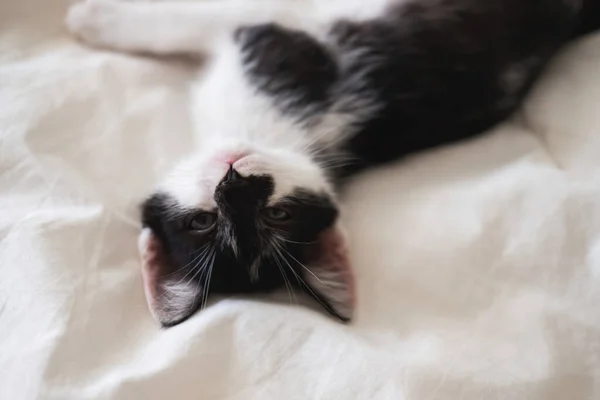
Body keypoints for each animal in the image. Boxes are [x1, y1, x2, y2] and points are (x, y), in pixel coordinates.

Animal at [67, 0, 600, 324]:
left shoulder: (279, 43)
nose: (235, 182)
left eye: (278, 214)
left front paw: (95, 20)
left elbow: (200, 20)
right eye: (203, 222)